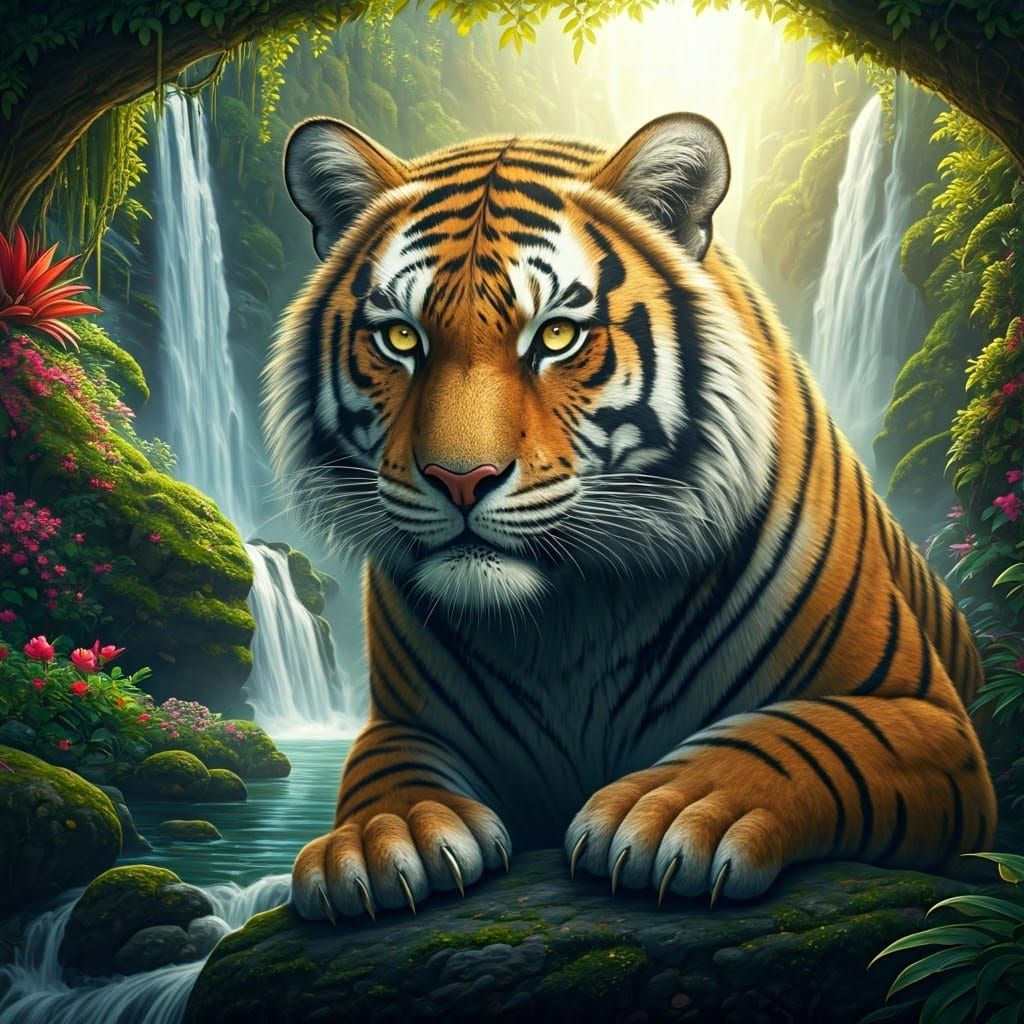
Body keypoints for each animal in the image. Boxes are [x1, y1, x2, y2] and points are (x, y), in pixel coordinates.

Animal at [266, 111, 997, 922]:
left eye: (556, 336)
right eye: (401, 338)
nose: (461, 480)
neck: (564, 619)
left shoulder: (926, 716)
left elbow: (797, 734)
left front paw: (674, 812)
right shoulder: (403, 719)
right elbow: (384, 768)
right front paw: (381, 839)